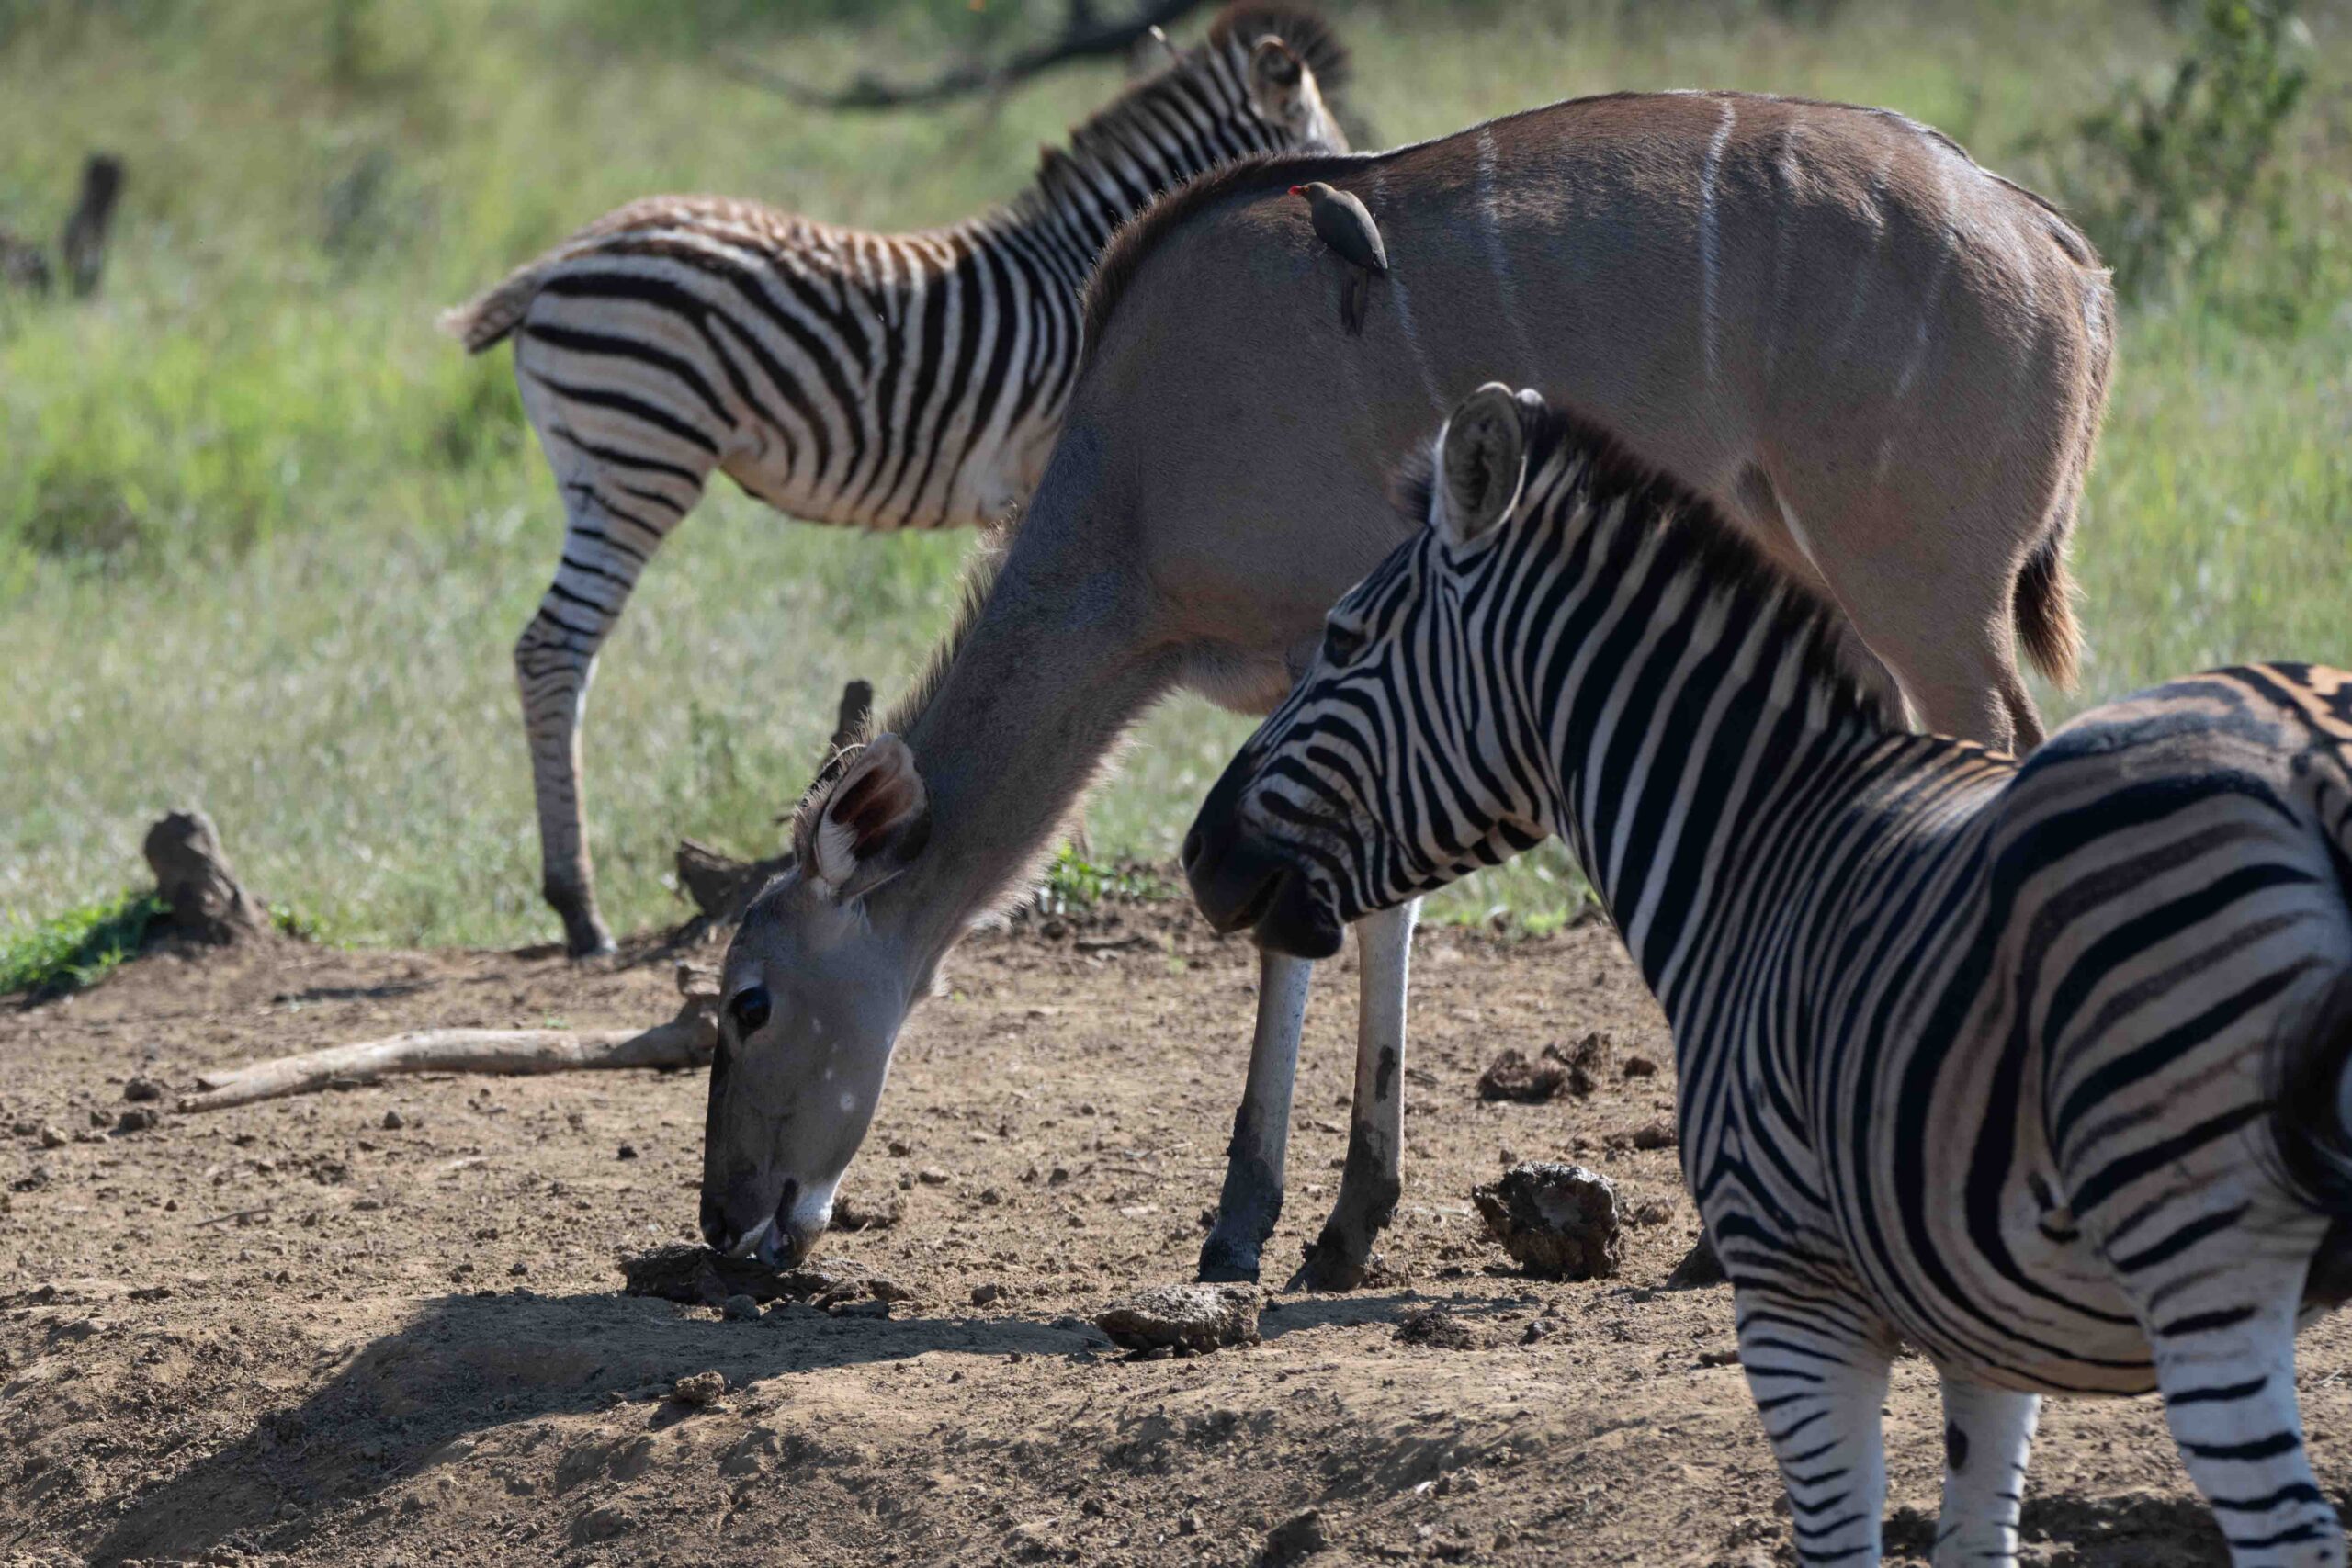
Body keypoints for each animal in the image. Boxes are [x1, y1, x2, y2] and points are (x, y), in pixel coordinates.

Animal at [440, 4, 1350, 956]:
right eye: (1325, 154)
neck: (1074, 265)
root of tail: (558, 262)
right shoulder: (1058, 472)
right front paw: (1056, 862)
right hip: (641, 454)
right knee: (555, 647)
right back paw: (581, 910)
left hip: (598, 466)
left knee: (554, 649)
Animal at [698, 91, 2114, 1292]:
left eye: (748, 1002)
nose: (728, 1220)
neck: (1133, 474)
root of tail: (2061, 252)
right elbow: (1370, 911)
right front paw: (1345, 1220)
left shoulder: (1346, 643)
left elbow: (1311, 922)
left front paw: (1254, 1226)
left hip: (1929, 594)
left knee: (1994, 752)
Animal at [1184, 383, 2352, 1566]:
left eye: (1341, 638)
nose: (1195, 853)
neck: (1764, 835)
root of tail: (2309, 761)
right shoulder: (1980, 1320)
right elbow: (1976, 1534)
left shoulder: (1796, 1302)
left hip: (2193, 1261)